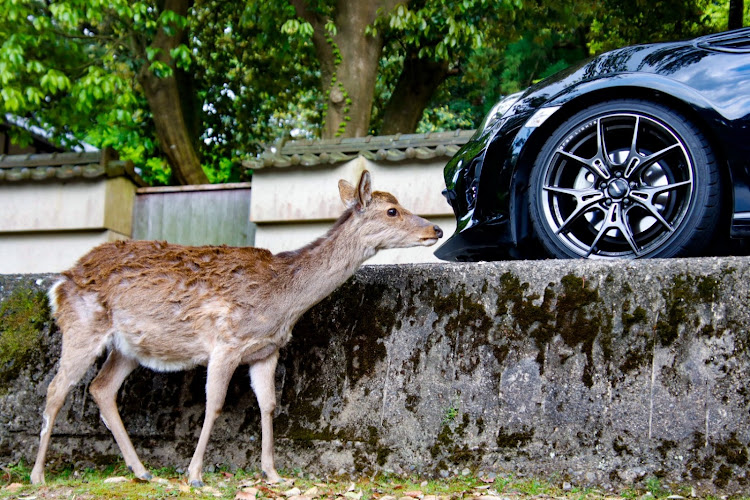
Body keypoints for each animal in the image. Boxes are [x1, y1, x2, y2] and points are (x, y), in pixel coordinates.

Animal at [30, 170, 440, 486]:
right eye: (392, 210)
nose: (436, 228)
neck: (283, 303)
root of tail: (60, 282)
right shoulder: (226, 342)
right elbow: (214, 404)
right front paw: (195, 474)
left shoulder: (267, 350)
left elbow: (269, 405)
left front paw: (273, 473)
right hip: (82, 328)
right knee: (56, 389)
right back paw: (38, 476)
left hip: (128, 348)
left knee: (101, 389)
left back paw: (143, 471)